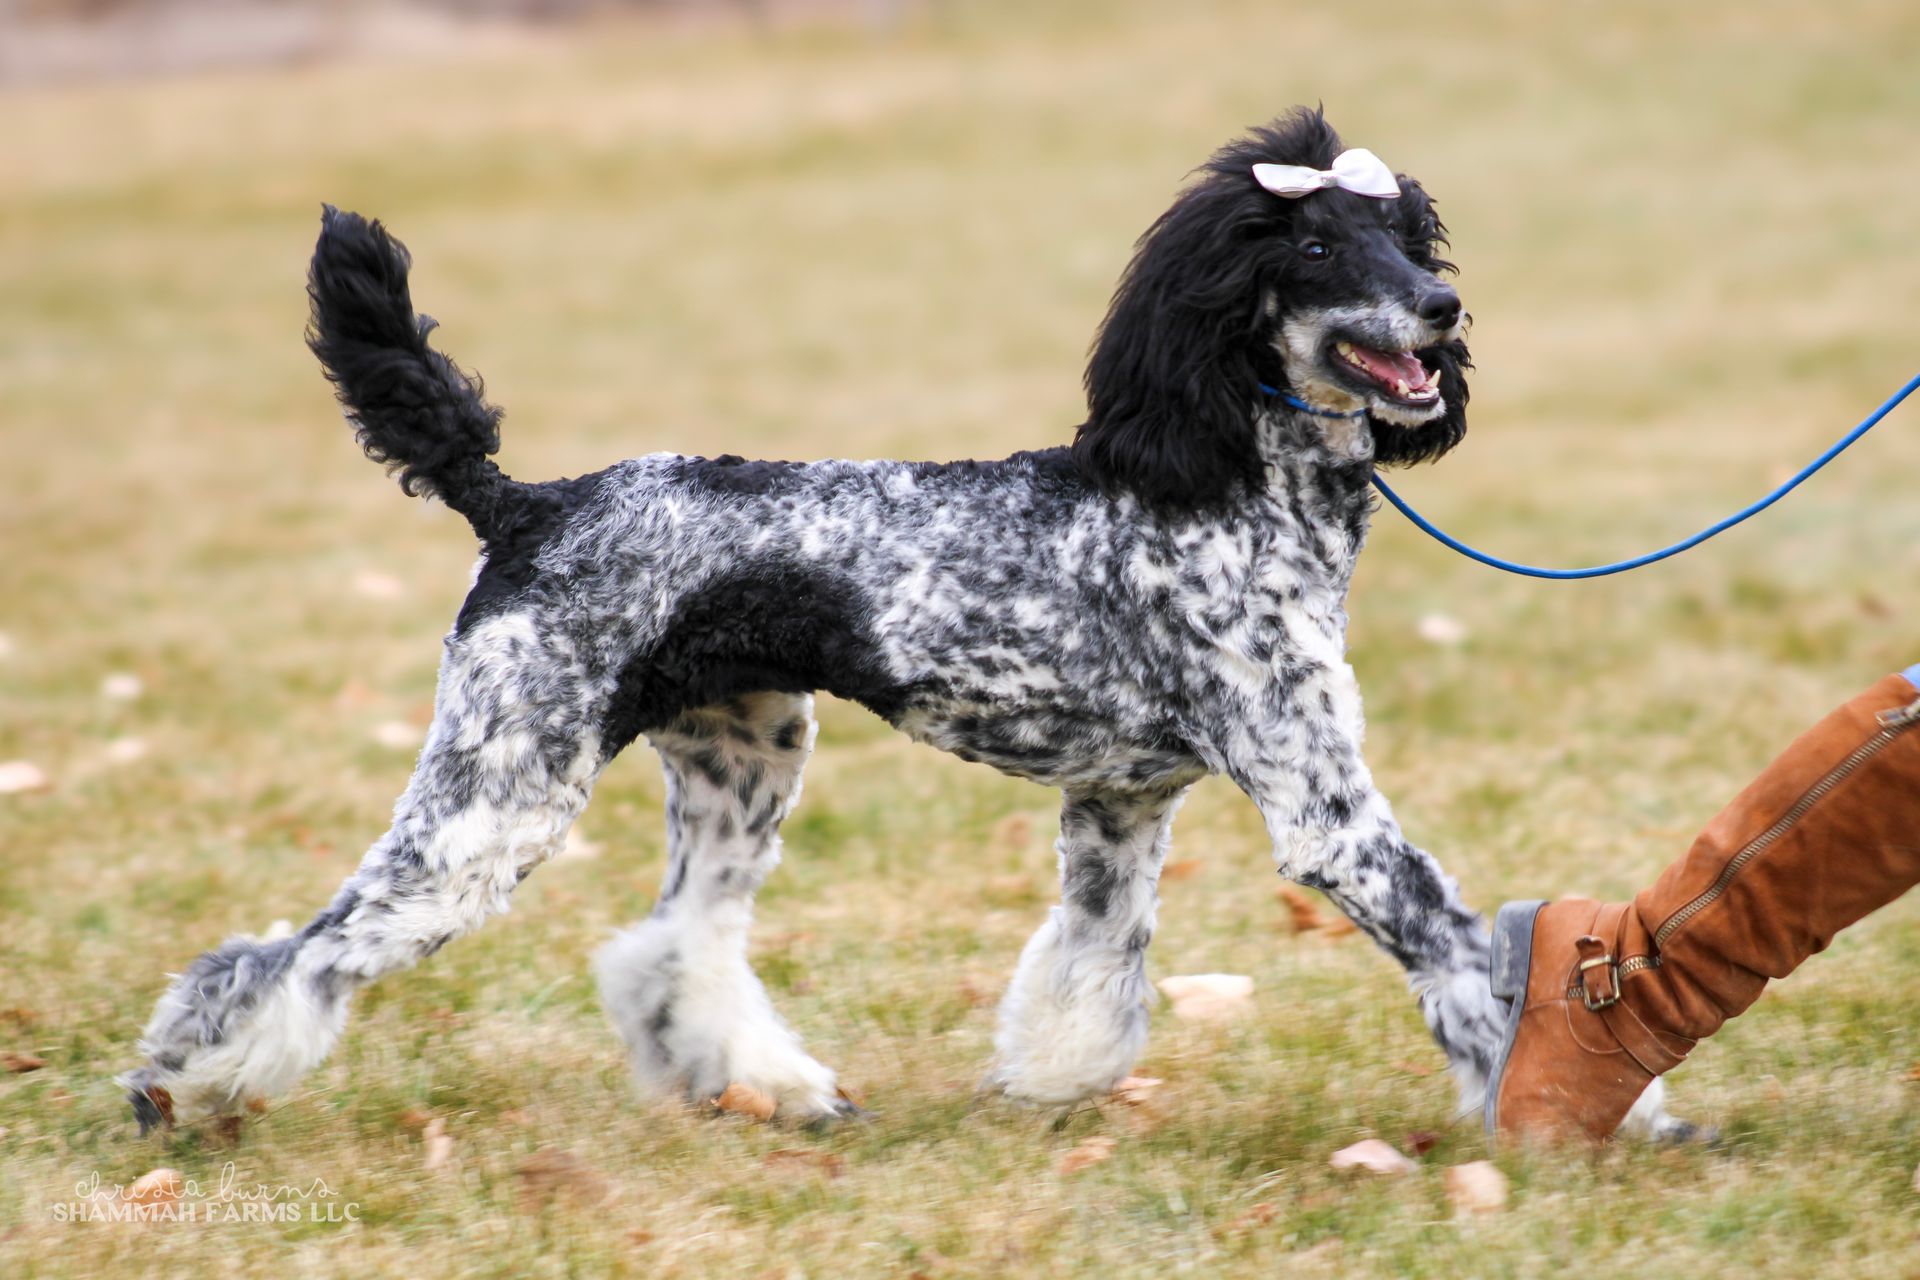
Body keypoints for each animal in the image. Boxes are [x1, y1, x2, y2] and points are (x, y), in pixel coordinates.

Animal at [123, 105, 1681, 1136]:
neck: (1222, 486)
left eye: (1406, 229)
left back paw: (769, 1086)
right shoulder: (1325, 811)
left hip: (743, 767)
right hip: (494, 797)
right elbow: (1462, 953)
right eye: (1306, 239)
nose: (1442, 305)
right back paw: (183, 1082)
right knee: (299, 953)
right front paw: (1592, 1114)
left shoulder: (1122, 807)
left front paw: (1051, 1083)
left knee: (673, 948)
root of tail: (526, 503)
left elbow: (1093, 969)